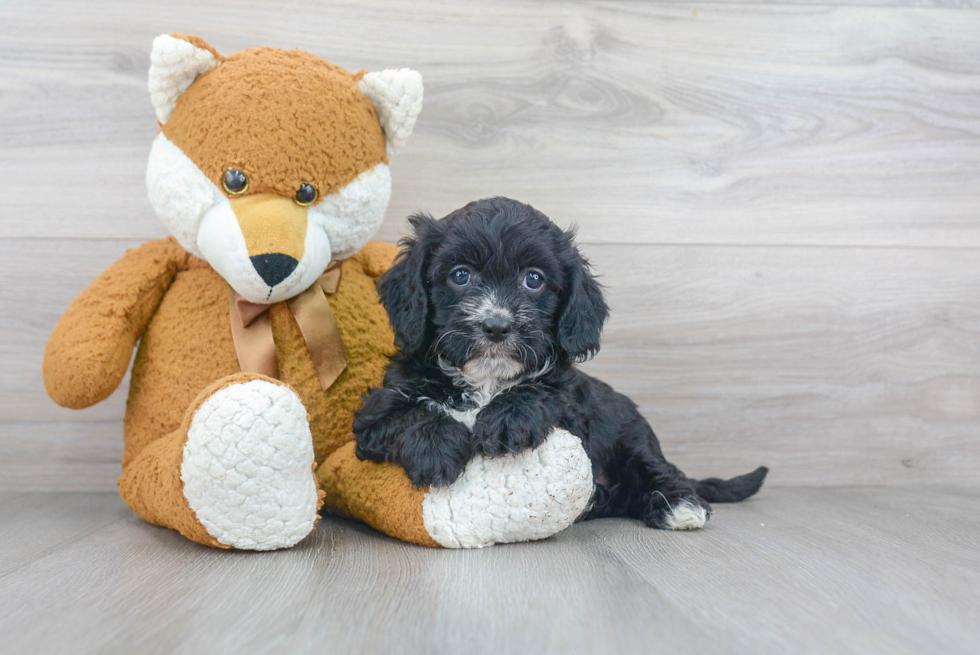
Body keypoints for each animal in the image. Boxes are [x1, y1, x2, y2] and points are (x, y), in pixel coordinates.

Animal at [352, 197, 764, 532]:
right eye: (460, 275)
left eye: (533, 280)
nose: (497, 326)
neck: (487, 380)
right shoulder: (375, 414)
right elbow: (407, 415)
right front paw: (438, 447)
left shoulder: (576, 411)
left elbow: (548, 392)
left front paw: (507, 418)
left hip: (633, 435)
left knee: (660, 469)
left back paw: (680, 505)